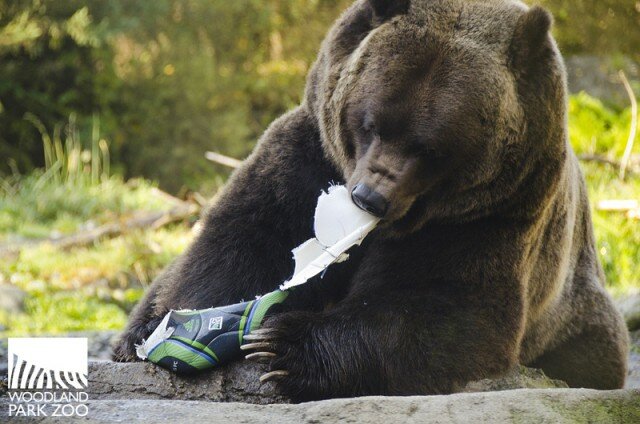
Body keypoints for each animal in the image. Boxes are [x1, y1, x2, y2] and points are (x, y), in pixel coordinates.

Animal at [112, 0, 628, 400]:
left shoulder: (493, 214)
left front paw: (283, 346)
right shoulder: (306, 161)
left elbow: (446, 307)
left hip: (576, 316)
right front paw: (191, 331)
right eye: (373, 122)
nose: (370, 197)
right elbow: (239, 248)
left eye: (432, 149)